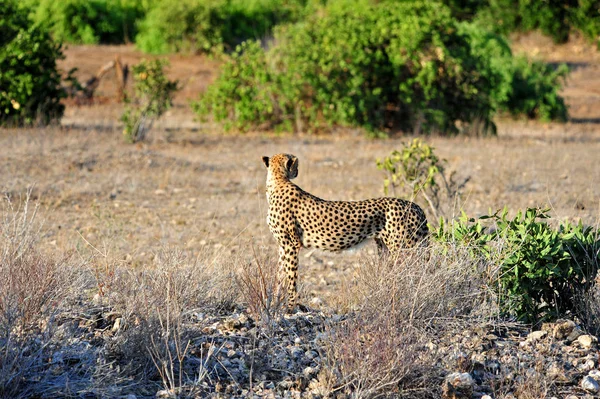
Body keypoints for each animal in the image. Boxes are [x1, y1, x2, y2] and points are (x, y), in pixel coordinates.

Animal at [262, 155, 426, 310]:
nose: (297, 171)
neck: (277, 181)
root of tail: (416, 206)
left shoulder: (291, 245)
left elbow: (291, 277)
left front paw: (290, 308)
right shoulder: (283, 246)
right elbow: (280, 275)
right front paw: (275, 303)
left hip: (404, 249)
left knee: (415, 273)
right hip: (385, 247)